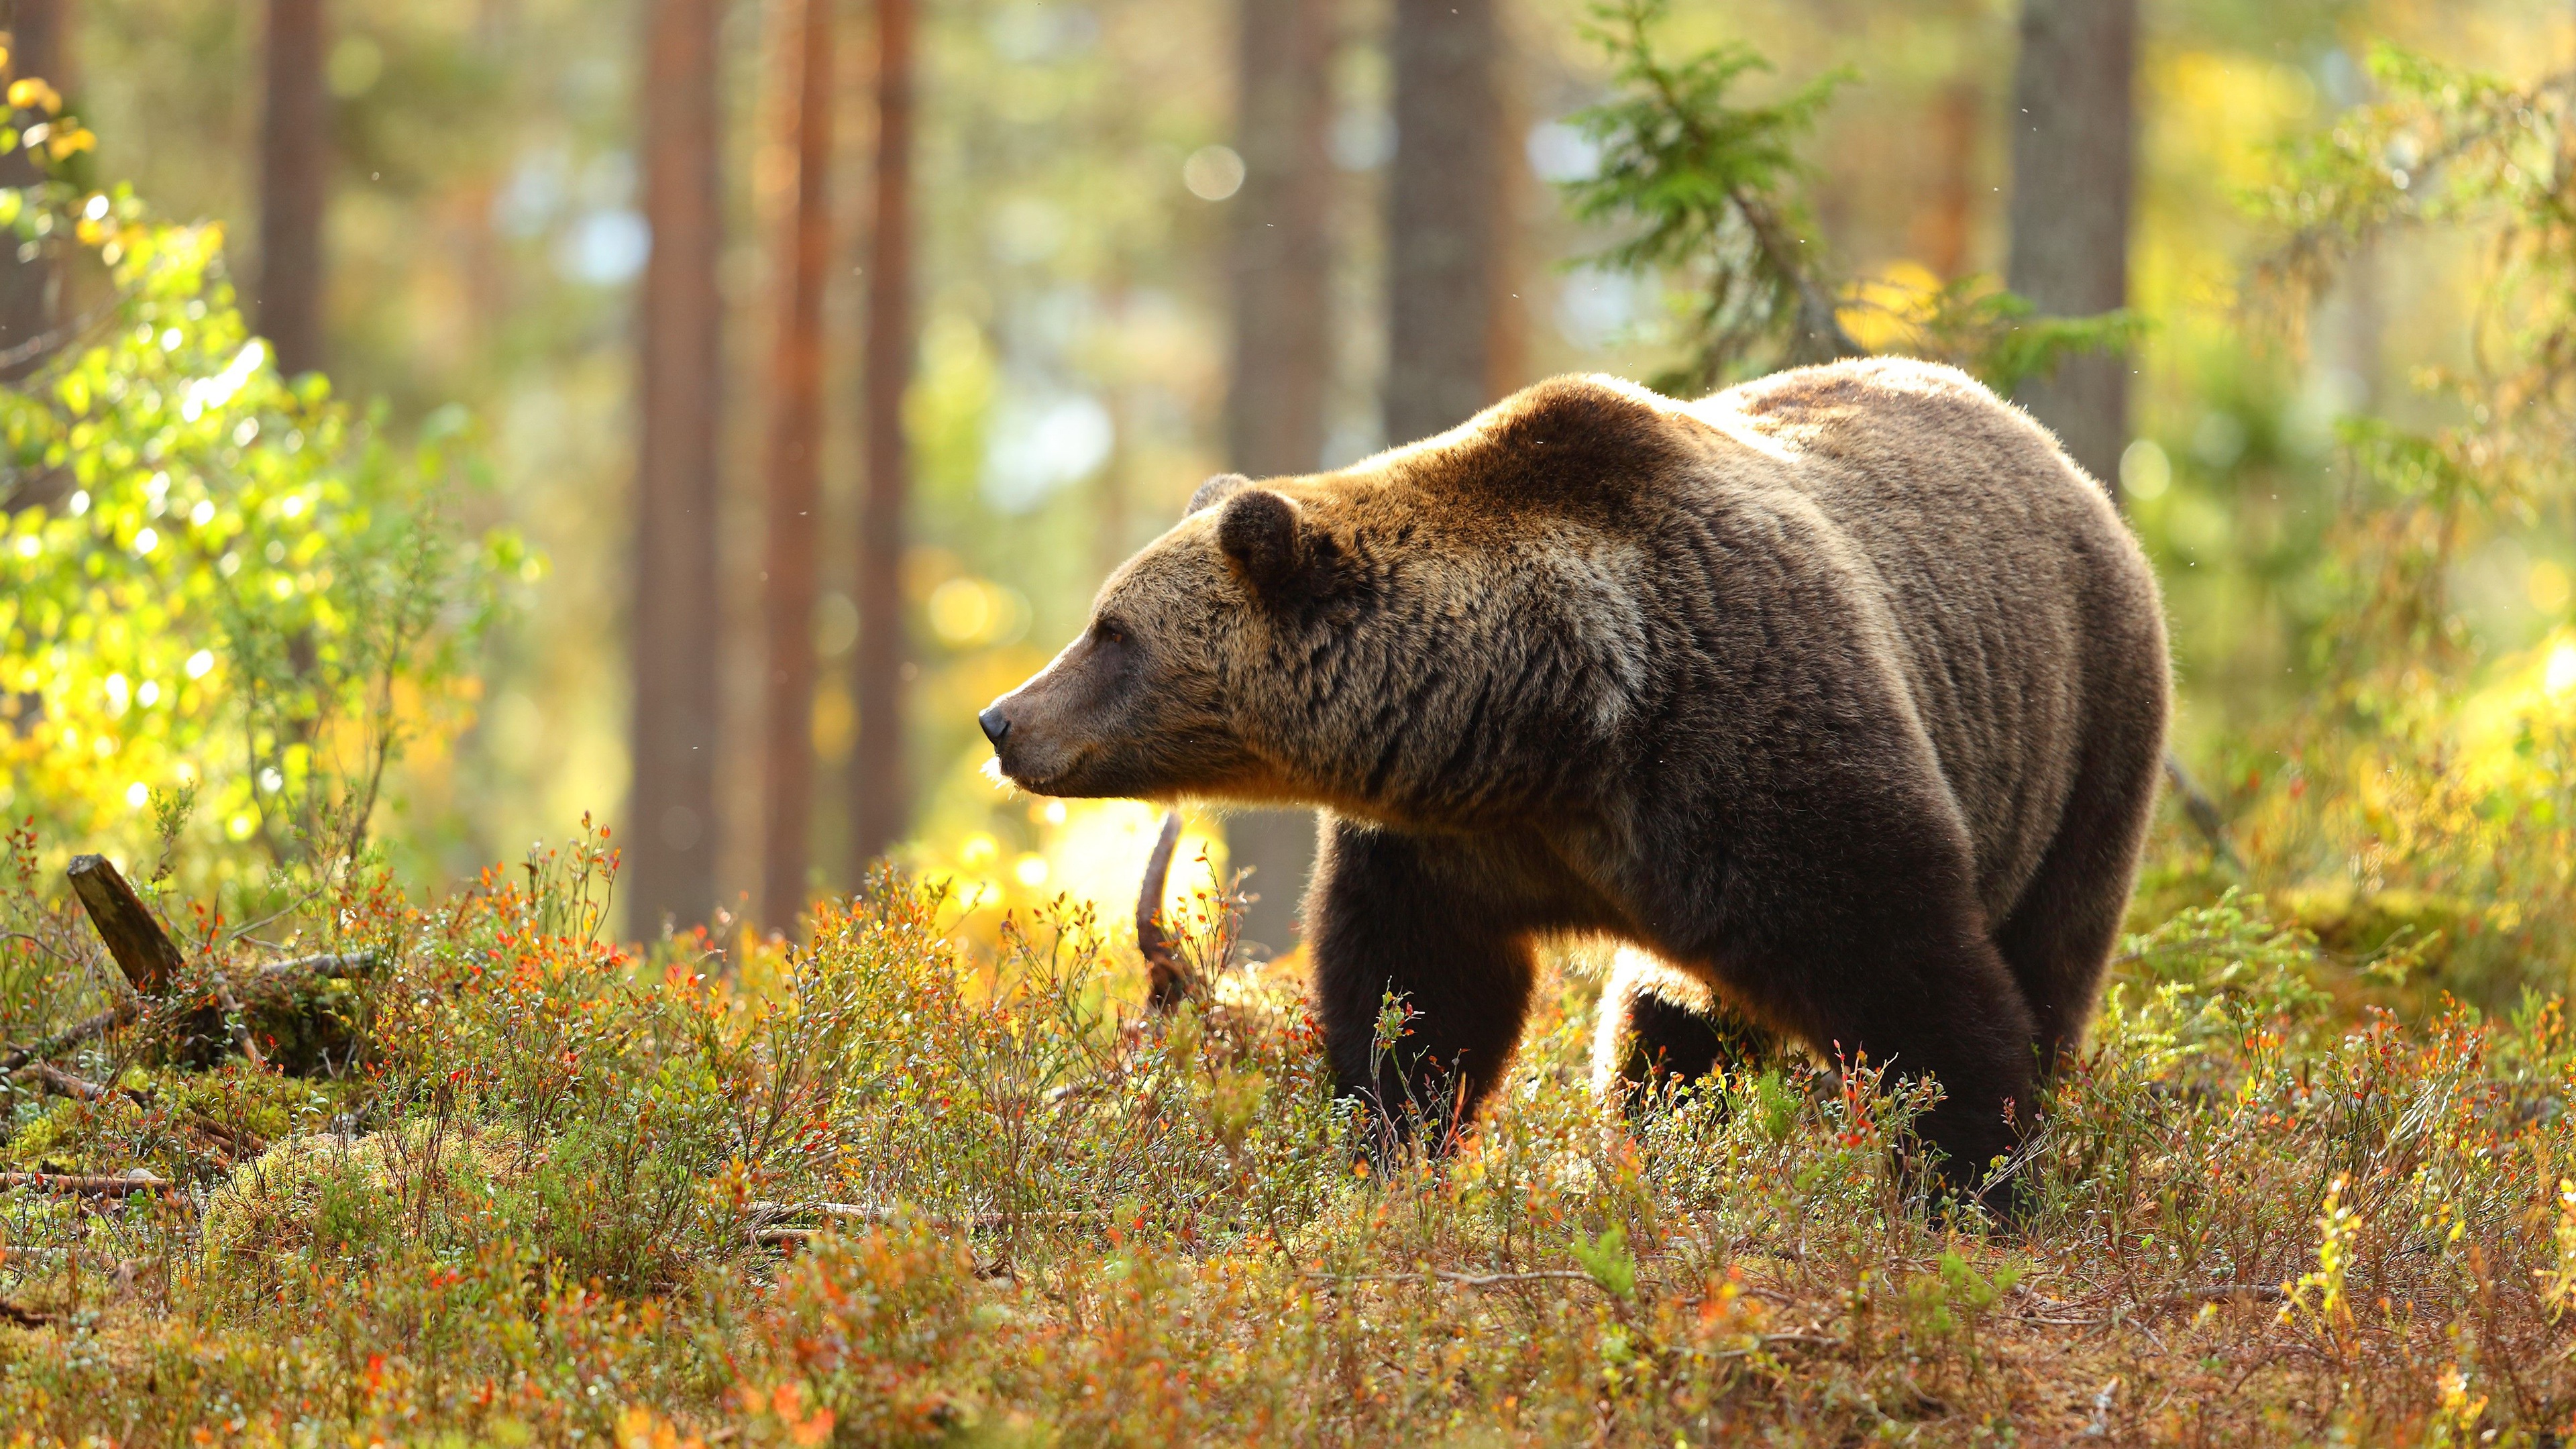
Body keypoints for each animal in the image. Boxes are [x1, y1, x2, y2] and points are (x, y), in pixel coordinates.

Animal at [973, 356, 2163, 1191]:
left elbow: (1911, 972)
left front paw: (1973, 1176)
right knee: (1669, 1030)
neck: (1549, 722)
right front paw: (1389, 1146)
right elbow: (1421, 998)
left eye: (1111, 631)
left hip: (2082, 738)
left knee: (2051, 947)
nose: (1001, 720)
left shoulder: (1758, 745)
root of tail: (2059, 458)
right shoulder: (1453, 842)